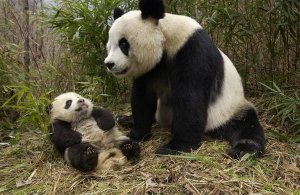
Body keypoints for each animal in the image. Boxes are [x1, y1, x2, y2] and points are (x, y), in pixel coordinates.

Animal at [103, 0, 264, 158]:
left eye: (123, 44)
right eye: (109, 45)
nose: (109, 64)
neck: (166, 37)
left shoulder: (192, 53)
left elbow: (189, 100)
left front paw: (174, 147)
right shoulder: (152, 68)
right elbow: (143, 96)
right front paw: (138, 133)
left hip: (229, 108)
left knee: (246, 125)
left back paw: (243, 149)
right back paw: (125, 119)